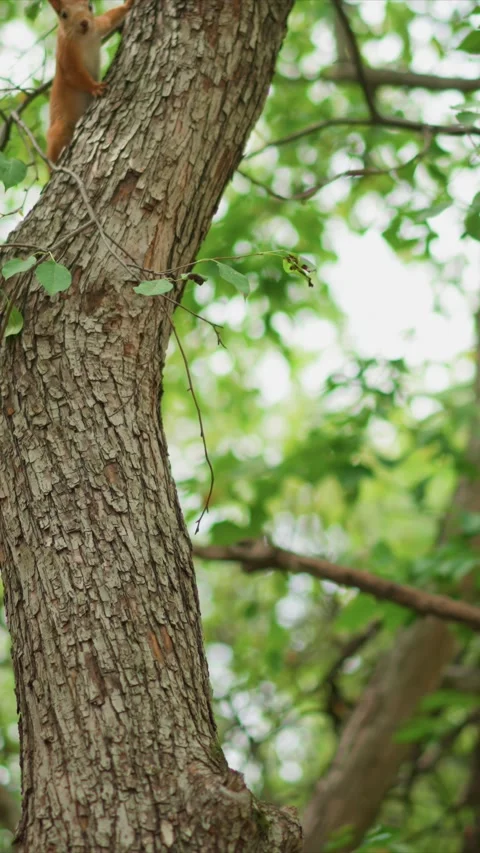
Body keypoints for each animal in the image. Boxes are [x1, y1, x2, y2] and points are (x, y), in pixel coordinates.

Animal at [46, 0, 134, 164]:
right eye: (64, 14)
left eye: (90, 6)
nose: (84, 22)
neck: (84, 38)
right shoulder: (66, 54)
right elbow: (74, 75)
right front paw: (95, 87)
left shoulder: (97, 26)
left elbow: (109, 19)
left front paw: (127, 5)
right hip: (60, 128)